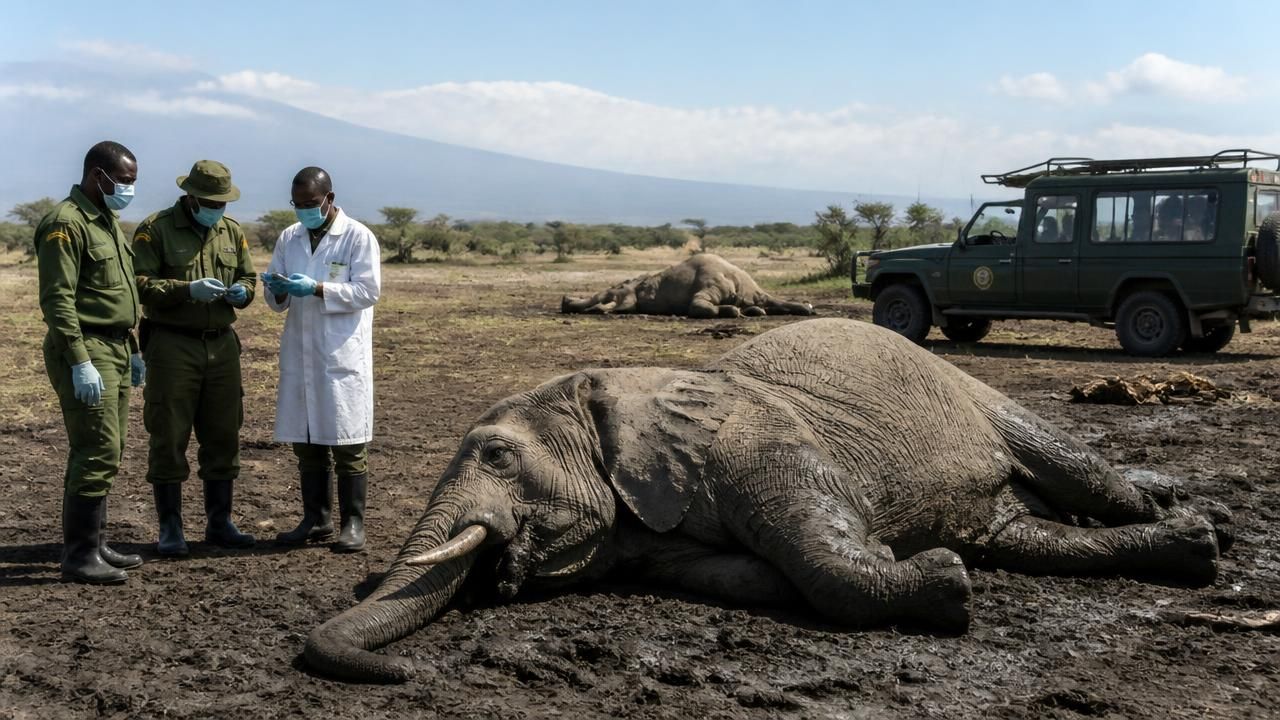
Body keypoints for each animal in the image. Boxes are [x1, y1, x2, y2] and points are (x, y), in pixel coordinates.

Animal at [305, 318, 1232, 683]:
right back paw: (1194, 539)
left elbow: (826, 560)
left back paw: (1194, 523)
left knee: (1080, 473)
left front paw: (940, 581)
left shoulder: (759, 444)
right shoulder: (656, 531)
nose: (410, 669)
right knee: (1027, 538)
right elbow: (743, 576)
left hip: (976, 390)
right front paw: (932, 569)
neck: (625, 386)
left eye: (497, 455)